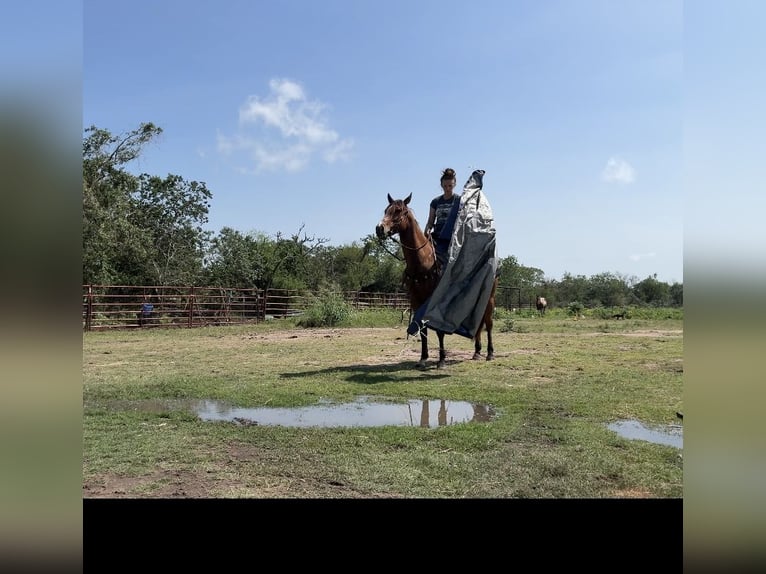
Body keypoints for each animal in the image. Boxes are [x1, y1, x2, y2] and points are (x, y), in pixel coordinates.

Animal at [375, 192, 497, 369]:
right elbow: (422, 329)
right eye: (386, 210)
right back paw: (477, 352)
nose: (379, 228)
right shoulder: (416, 300)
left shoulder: (436, 300)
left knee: (488, 323)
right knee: (478, 323)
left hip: (489, 297)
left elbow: (439, 331)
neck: (423, 262)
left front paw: (441, 359)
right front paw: (423, 358)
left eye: (398, 211)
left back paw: (489, 353)